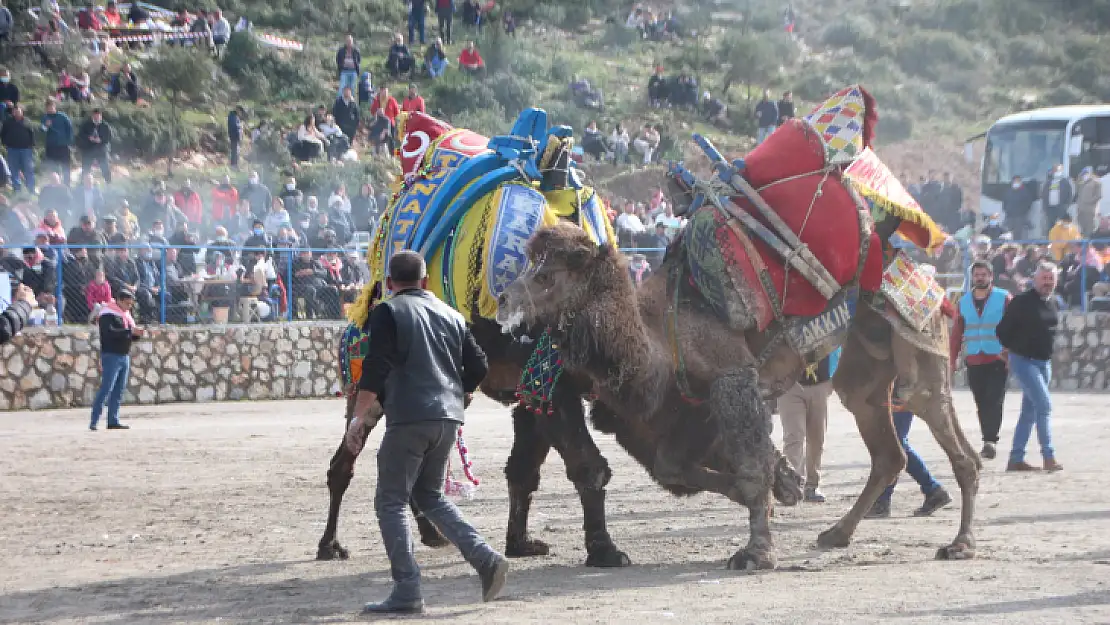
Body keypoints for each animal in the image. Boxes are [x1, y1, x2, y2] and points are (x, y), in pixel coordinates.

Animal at [495, 222, 981, 568]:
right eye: (529, 264)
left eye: (548, 276)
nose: (502, 298)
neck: (657, 340)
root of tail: (930, 280)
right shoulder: (688, 409)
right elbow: (677, 468)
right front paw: (786, 484)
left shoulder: (732, 377)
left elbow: (746, 469)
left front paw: (755, 552)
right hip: (864, 363)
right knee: (883, 444)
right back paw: (836, 534)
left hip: (919, 339)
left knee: (946, 430)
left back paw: (960, 544)